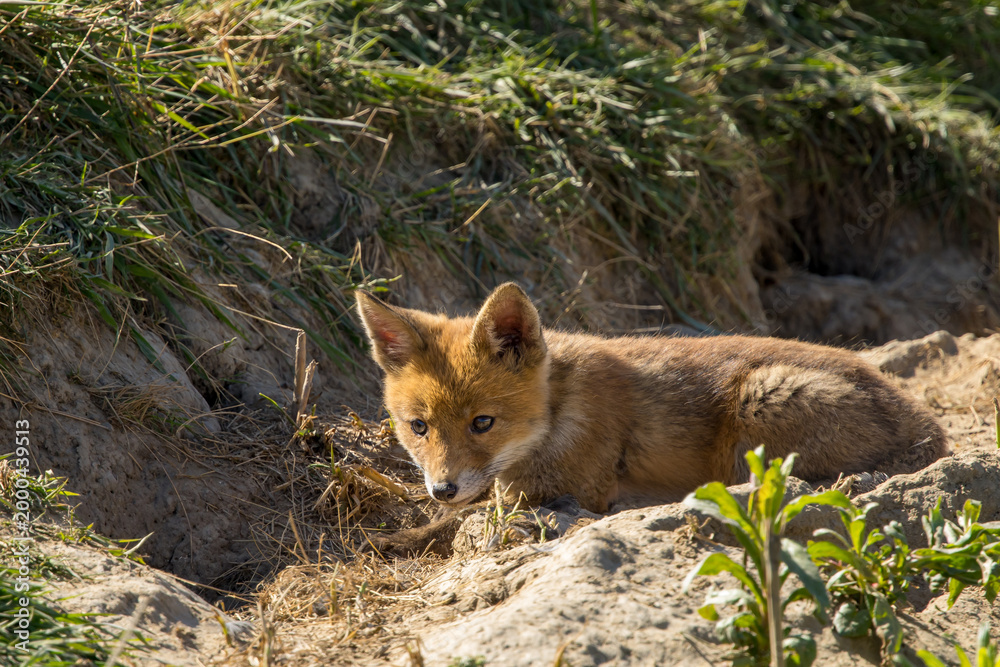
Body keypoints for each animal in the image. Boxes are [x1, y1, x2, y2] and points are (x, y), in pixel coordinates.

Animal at [355, 282, 947, 516]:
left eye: (482, 423)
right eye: (419, 427)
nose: (442, 489)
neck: (559, 406)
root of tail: (931, 431)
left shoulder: (557, 492)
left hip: (760, 402)